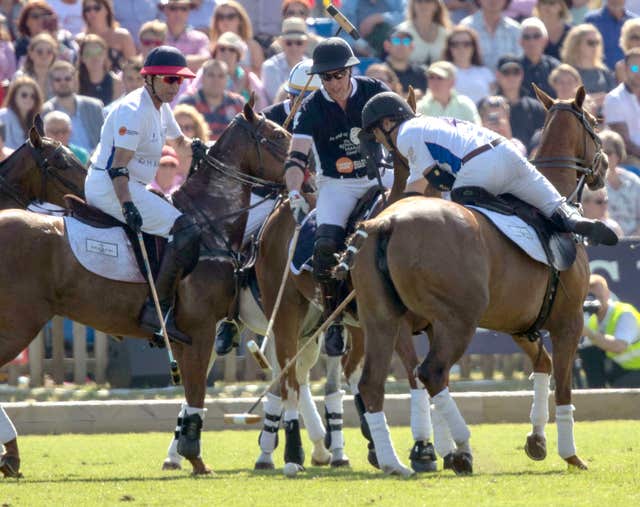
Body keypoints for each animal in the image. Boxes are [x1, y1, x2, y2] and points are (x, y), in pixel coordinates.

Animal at [0, 102, 288, 476]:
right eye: (278, 136)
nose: (310, 174)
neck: (212, 224)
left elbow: (194, 393)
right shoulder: (199, 328)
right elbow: (196, 394)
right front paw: (195, 458)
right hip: (20, 323)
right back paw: (11, 454)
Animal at [344, 86, 600, 476]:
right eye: (597, 123)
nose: (603, 168)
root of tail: (384, 222)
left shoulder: (518, 324)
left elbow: (542, 365)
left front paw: (536, 440)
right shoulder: (569, 320)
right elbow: (565, 387)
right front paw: (570, 454)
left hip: (381, 318)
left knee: (374, 384)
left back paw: (394, 461)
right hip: (458, 319)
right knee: (431, 372)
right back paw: (461, 449)